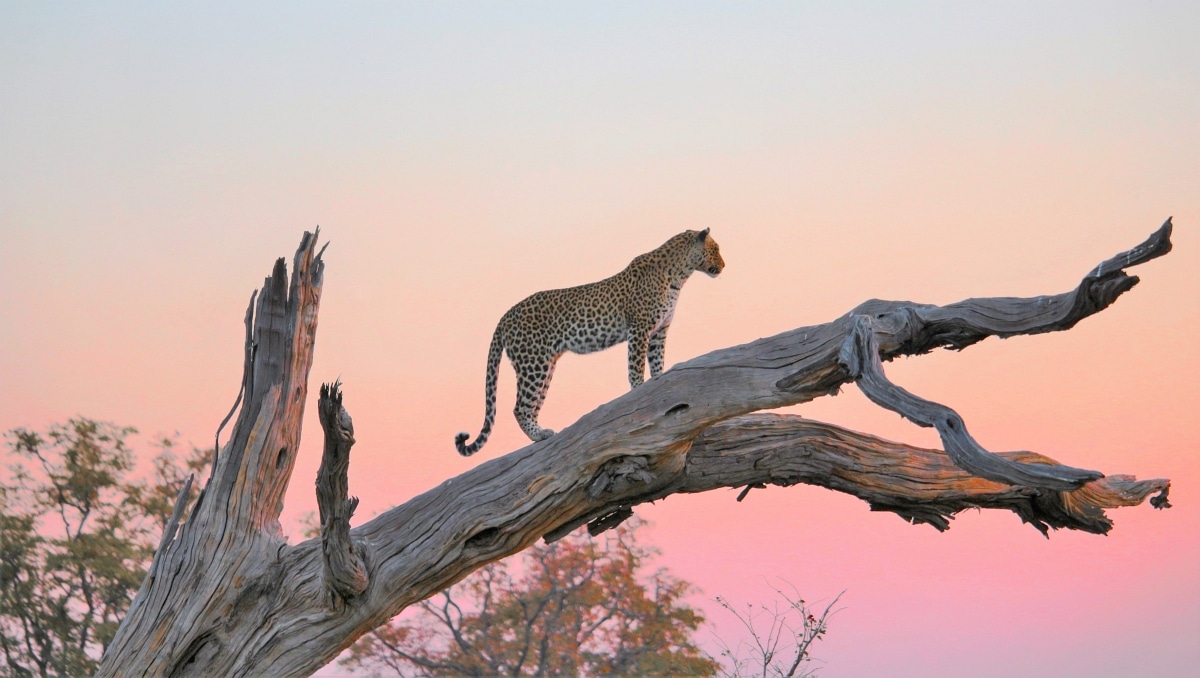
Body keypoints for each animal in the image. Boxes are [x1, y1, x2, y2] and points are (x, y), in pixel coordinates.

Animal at [456, 230, 720, 458]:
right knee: (520, 407)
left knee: (532, 404)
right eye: (716, 249)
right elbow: (635, 367)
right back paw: (538, 435)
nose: (724, 265)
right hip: (533, 364)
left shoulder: (659, 332)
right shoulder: (639, 329)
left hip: (545, 366)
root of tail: (505, 315)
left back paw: (540, 435)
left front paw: (659, 385)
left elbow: (657, 363)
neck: (679, 275)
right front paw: (639, 391)